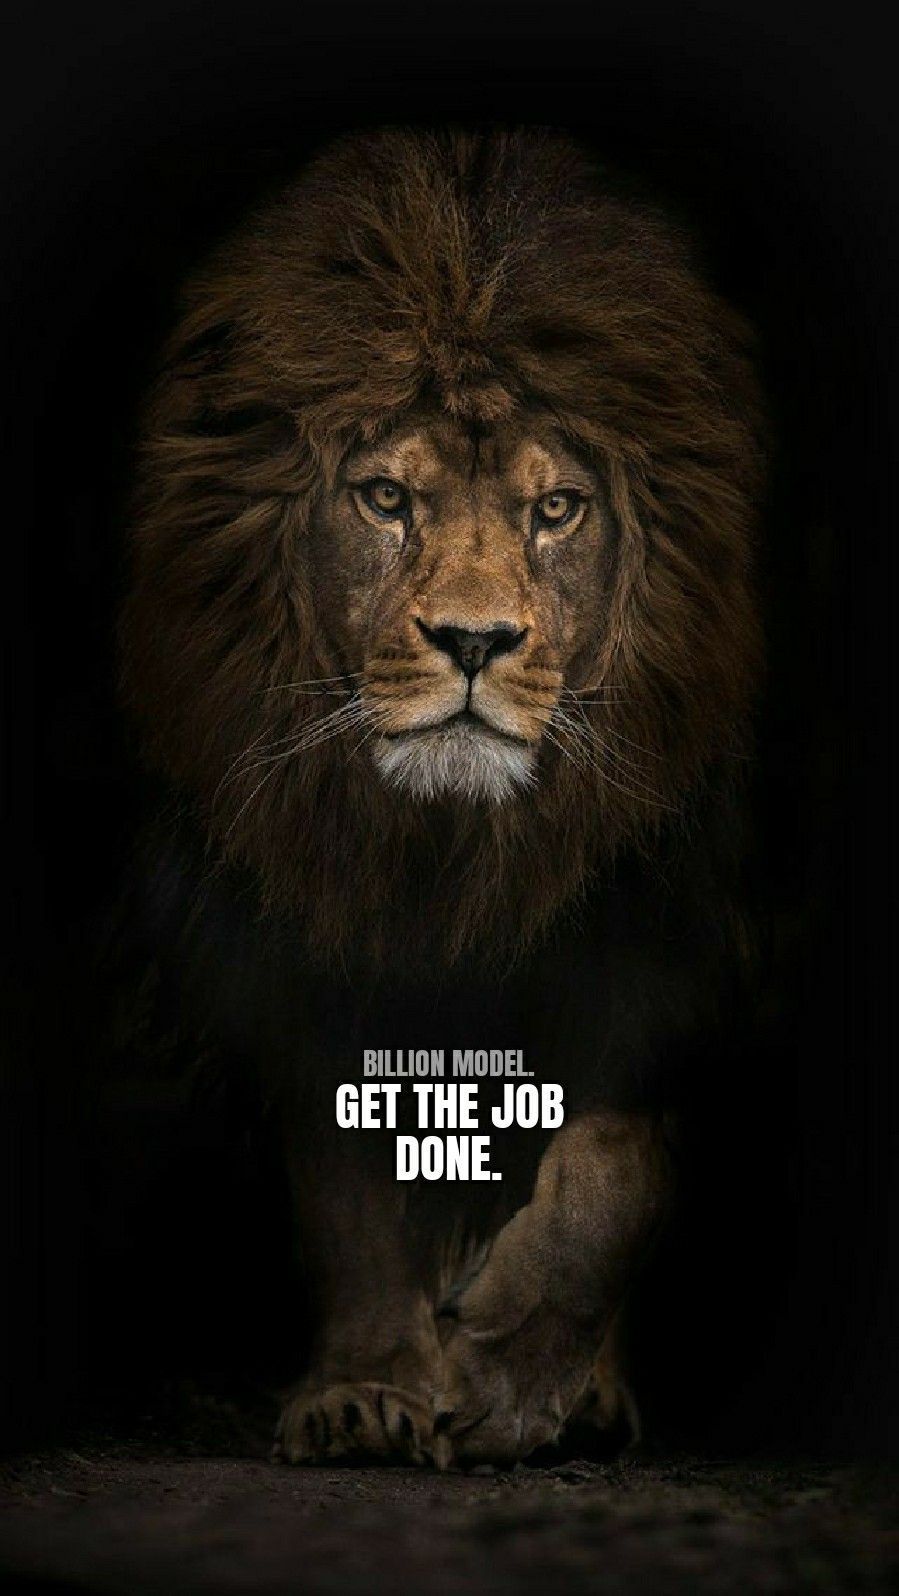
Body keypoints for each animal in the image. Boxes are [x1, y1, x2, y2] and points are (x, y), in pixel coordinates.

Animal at [119, 128, 762, 1467]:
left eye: (555, 508)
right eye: (385, 498)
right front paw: (370, 1389)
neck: (449, 854)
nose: (473, 640)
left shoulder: (678, 932)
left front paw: (514, 1375)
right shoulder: (292, 944)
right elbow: (347, 1187)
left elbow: (619, 1157)